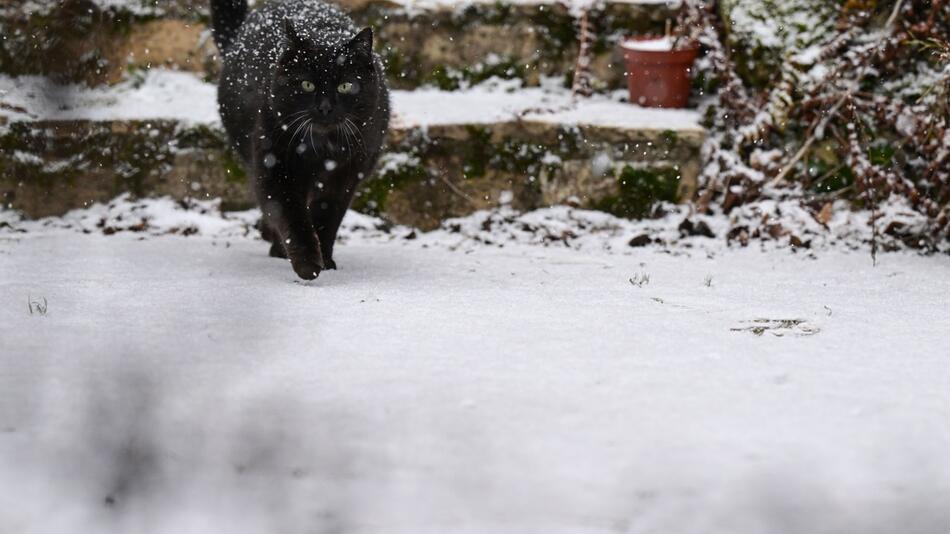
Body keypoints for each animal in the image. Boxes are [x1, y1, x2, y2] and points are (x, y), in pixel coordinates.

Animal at [212, 0, 390, 282]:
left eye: (345, 86)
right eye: (307, 85)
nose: (325, 107)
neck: (322, 148)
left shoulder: (345, 175)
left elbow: (327, 216)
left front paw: (325, 260)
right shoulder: (276, 166)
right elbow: (291, 215)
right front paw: (307, 264)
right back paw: (277, 249)